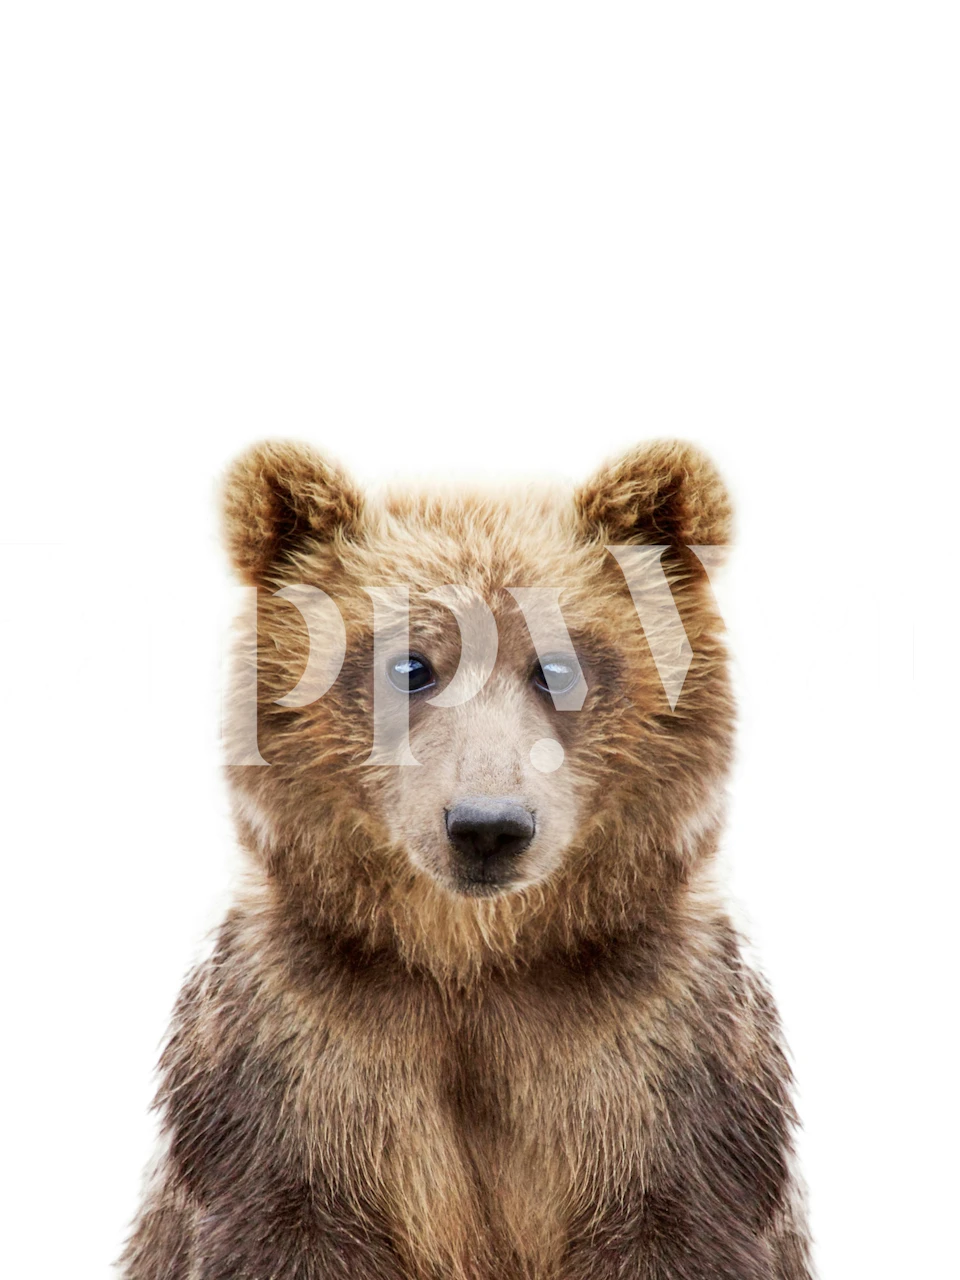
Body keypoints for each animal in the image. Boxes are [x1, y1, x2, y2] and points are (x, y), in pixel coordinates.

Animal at [120, 440, 813, 1280]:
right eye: (410, 665)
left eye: (558, 666)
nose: (487, 826)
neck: (474, 962)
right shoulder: (297, 1065)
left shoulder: (660, 1065)